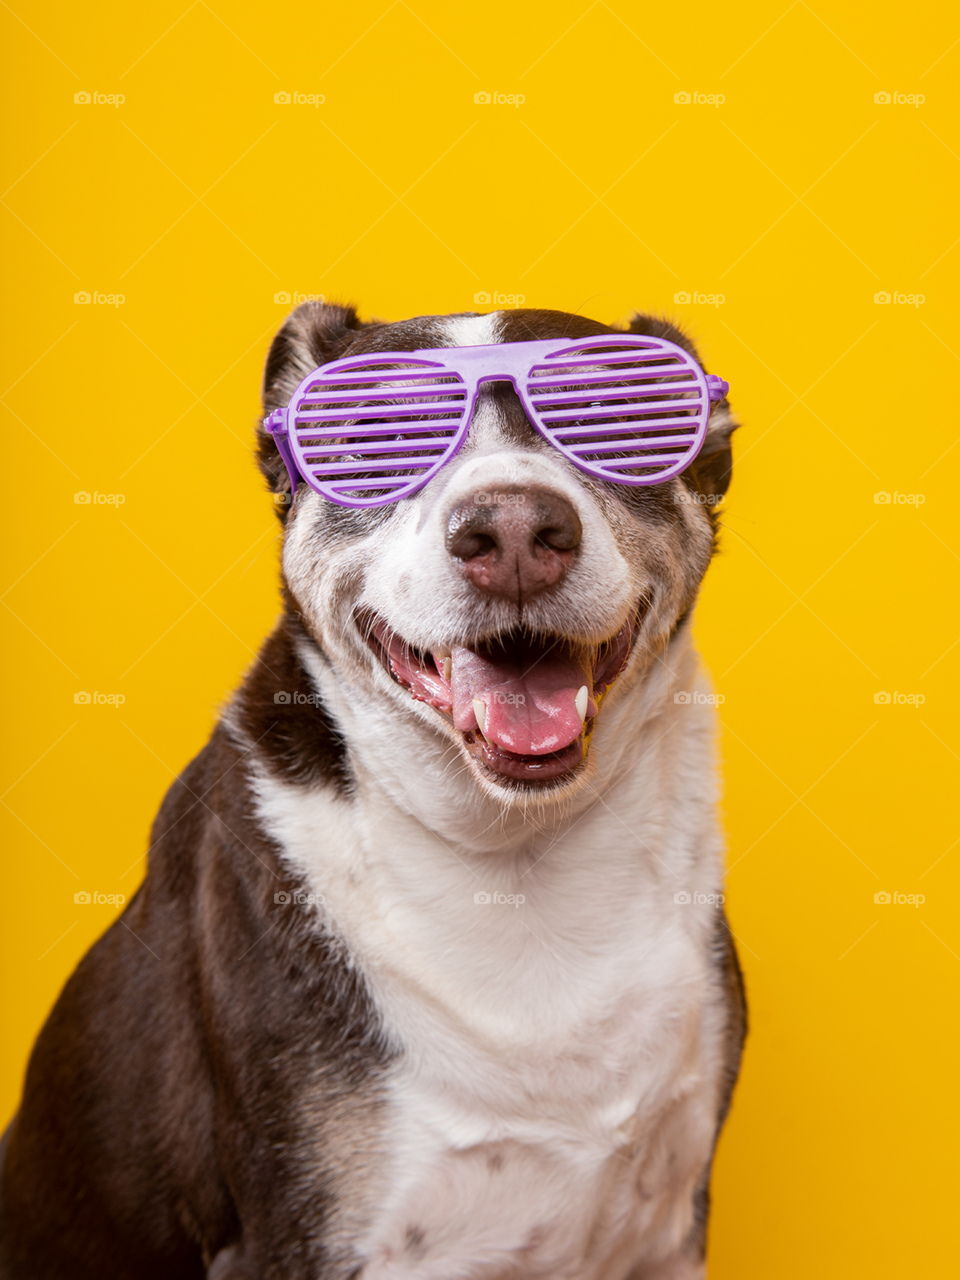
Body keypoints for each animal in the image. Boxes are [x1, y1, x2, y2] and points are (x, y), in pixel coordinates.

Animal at [0, 304, 747, 1274]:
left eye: (611, 420)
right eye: (376, 440)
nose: (513, 531)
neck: (517, 857)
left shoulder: (671, 1230)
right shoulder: (302, 1237)